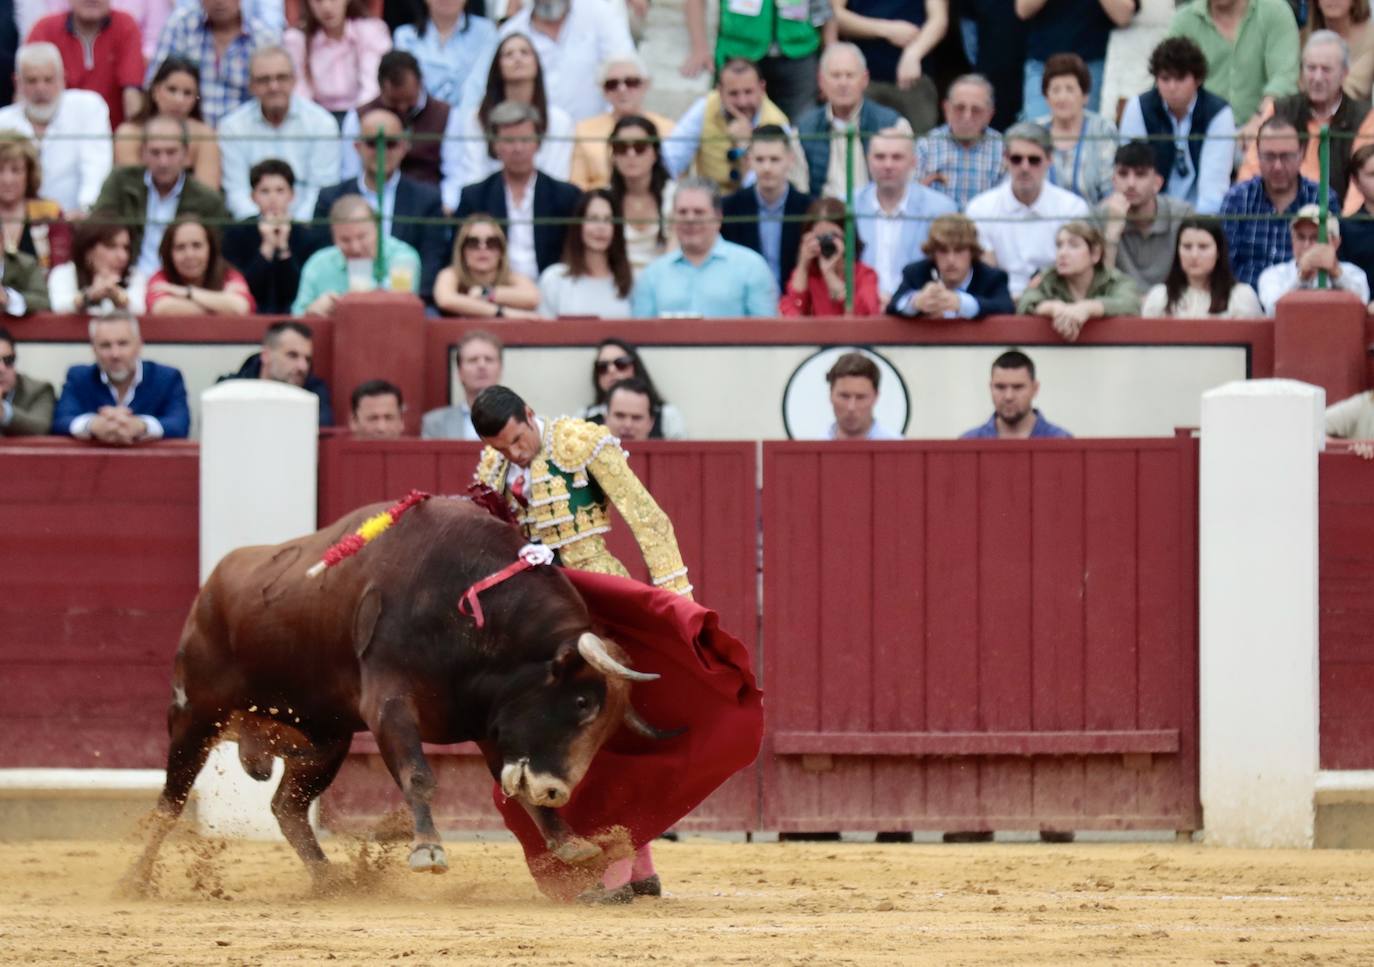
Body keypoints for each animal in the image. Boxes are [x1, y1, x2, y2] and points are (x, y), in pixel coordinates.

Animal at [126, 494, 673, 890]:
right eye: (582, 704)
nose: (558, 790)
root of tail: (211, 586)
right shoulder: (390, 704)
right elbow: (420, 775)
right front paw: (427, 850)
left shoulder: (492, 723)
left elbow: (517, 792)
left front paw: (569, 843)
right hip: (195, 715)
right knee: (171, 802)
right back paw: (135, 879)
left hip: (327, 740)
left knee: (288, 807)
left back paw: (330, 880)